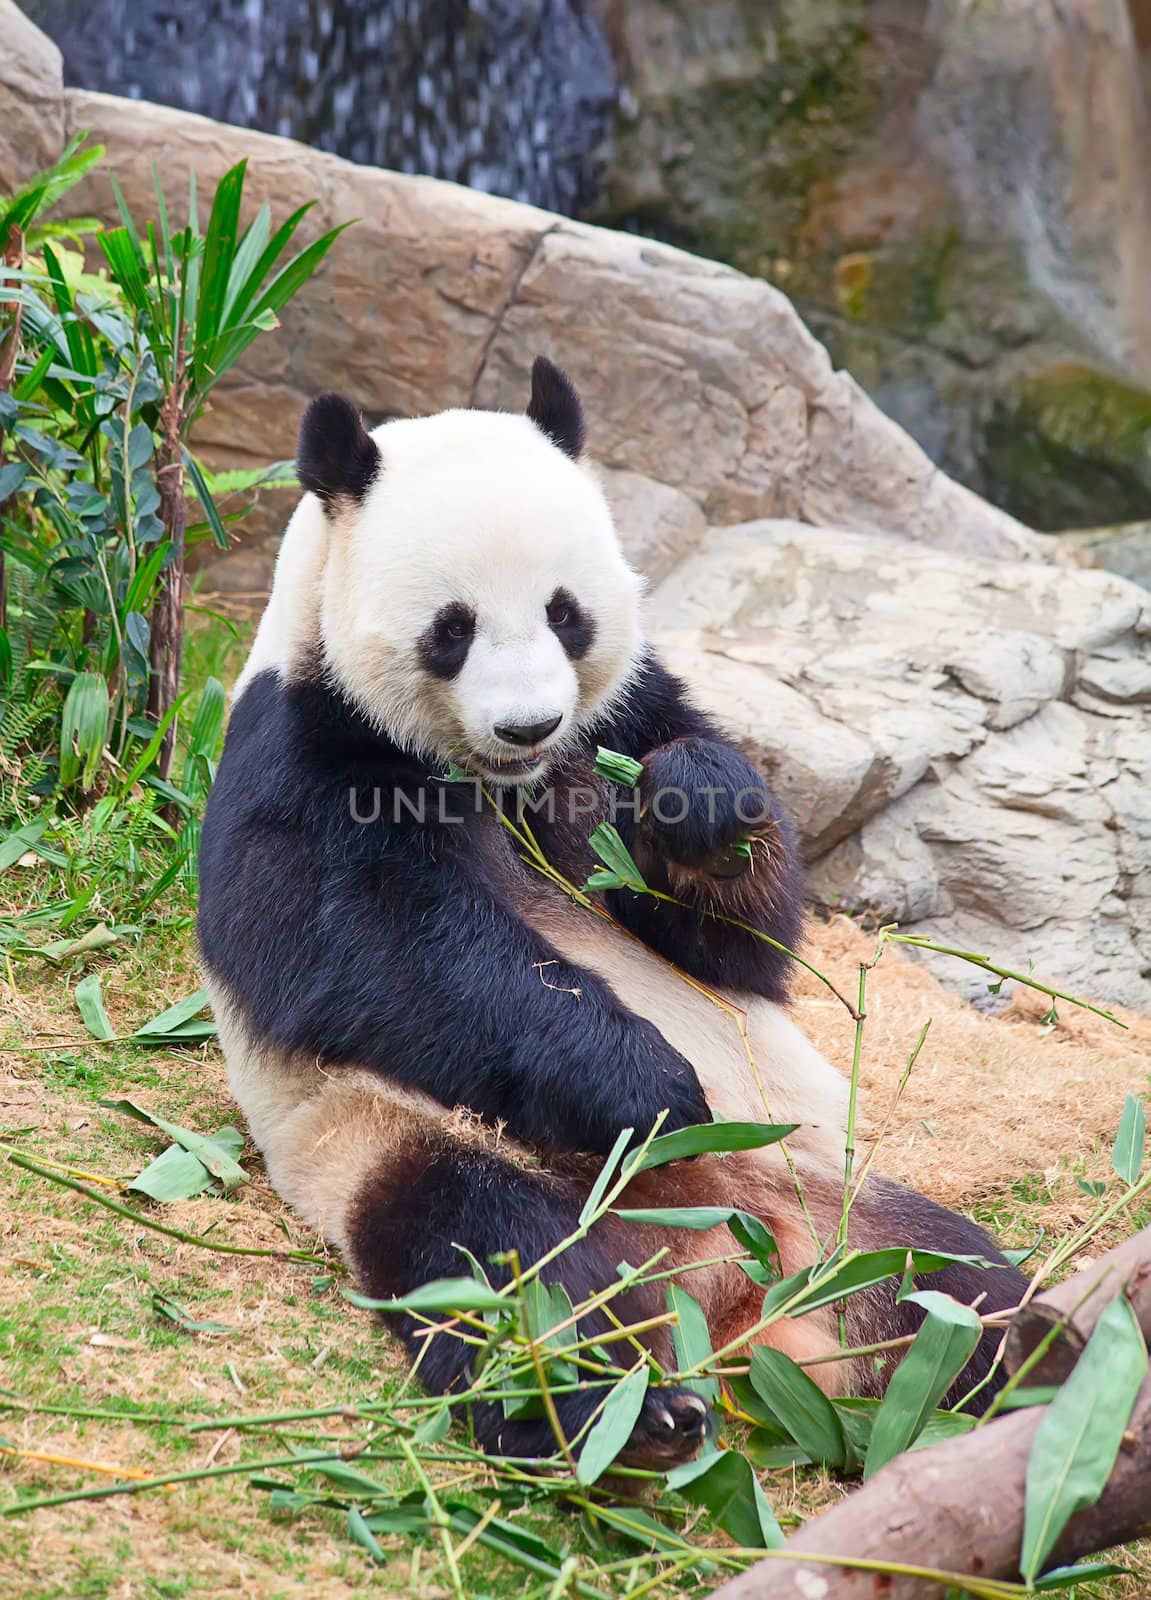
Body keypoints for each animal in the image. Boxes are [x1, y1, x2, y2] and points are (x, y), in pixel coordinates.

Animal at [200, 356, 1024, 1465]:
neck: (498, 779)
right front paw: (653, 1089)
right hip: (414, 1144)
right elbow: (366, 948)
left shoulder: (622, 719)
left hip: (840, 1193)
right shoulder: (303, 750)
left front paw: (703, 803)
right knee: (508, 1268)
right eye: (450, 628)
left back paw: (1044, 1375)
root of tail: (730, 1288)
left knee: (962, 1289)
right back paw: (636, 1412)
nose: (528, 724)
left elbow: (742, 949)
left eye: (565, 613)